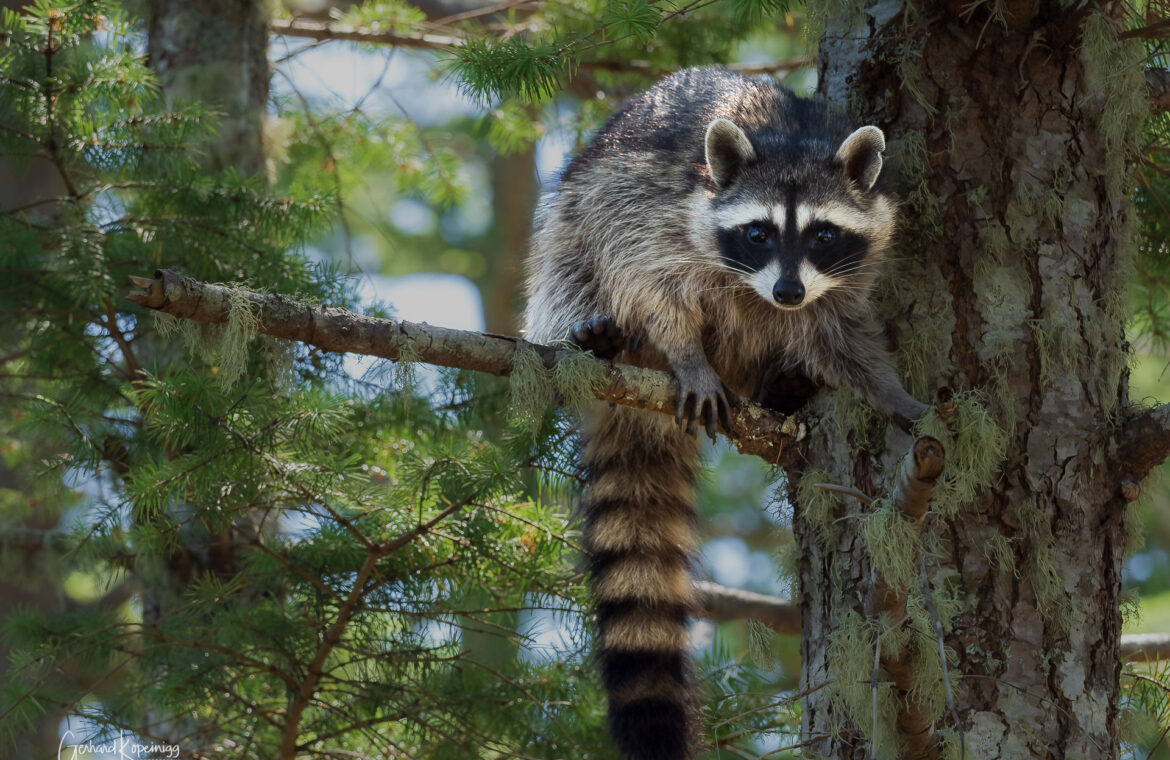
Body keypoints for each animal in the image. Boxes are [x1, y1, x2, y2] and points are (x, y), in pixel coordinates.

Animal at [526, 66, 926, 757]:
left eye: (823, 234)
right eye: (758, 232)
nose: (788, 291)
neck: (790, 141)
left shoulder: (849, 265)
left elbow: (842, 334)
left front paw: (887, 390)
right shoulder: (656, 207)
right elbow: (650, 279)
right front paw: (686, 352)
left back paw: (780, 386)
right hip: (573, 214)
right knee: (570, 258)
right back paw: (598, 336)